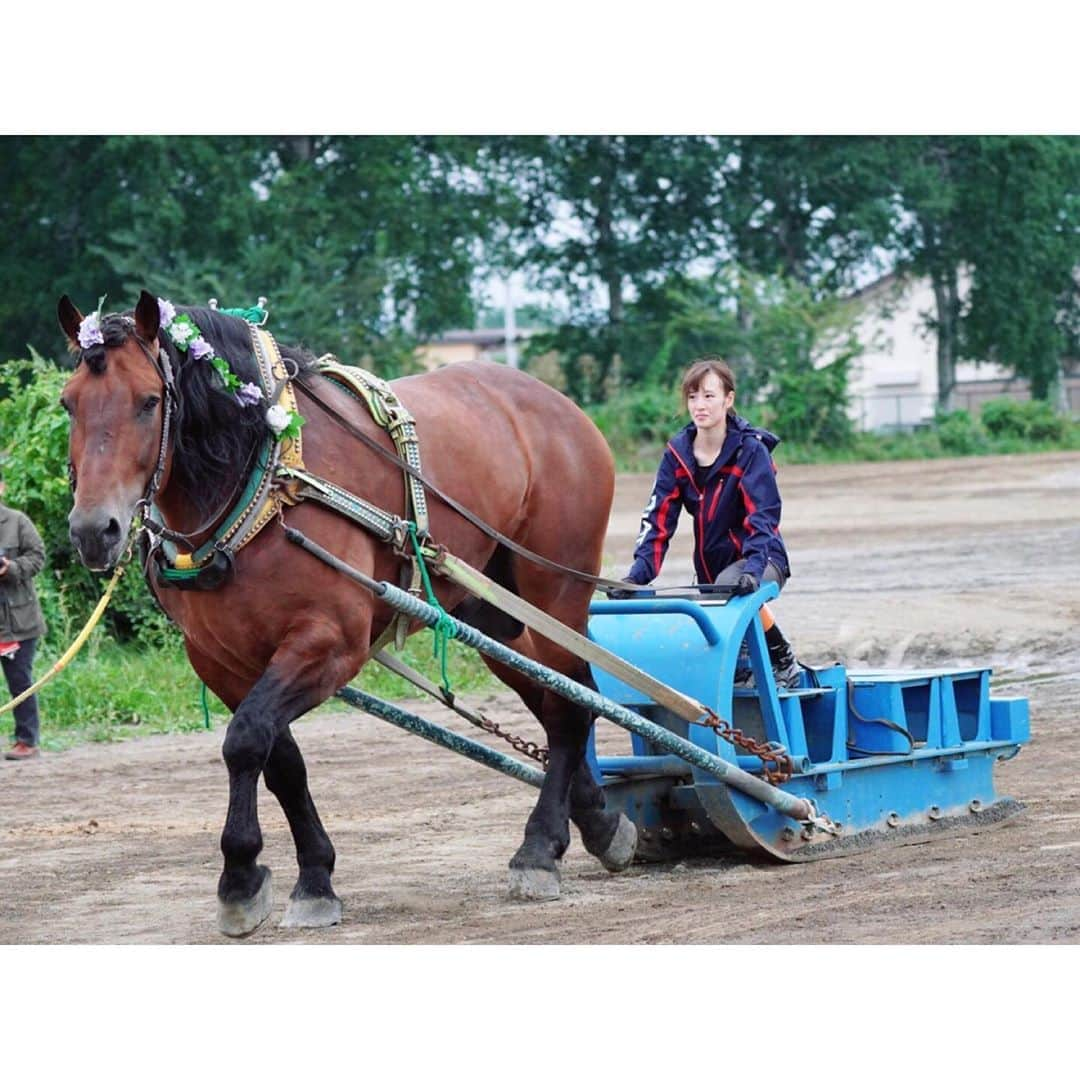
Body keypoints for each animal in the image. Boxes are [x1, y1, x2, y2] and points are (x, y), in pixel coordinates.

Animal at [59, 291, 635, 933]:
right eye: (68, 403)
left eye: (149, 401)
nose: (94, 530)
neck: (265, 479)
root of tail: (556, 404)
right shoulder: (221, 659)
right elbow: (279, 758)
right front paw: (311, 875)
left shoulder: (329, 643)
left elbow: (246, 740)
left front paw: (240, 875)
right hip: (492, 615)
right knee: (555, 699)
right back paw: (595, 823)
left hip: (553, 592)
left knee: (572, 701)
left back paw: (538, 848)